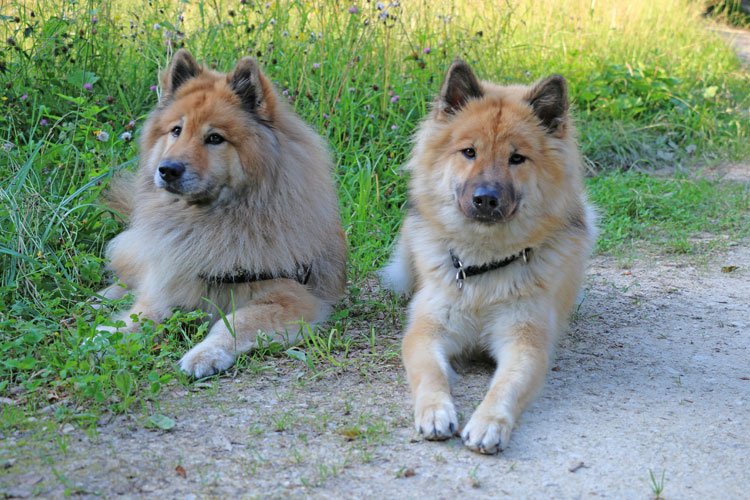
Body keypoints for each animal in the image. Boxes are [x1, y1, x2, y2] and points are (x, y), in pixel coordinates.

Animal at [95, 49, 348, 378]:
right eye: (176, 131)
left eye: (215, 138)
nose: (168, 169)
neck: (211, 222)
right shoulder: (170, 280)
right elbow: (144, 314)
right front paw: (109, 335)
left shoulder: (290, 298)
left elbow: (233, 324)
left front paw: (204, 355)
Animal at [384, 59, 596, 454]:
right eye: (469, 152)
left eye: (517, 158)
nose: (485, 198)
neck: (484, 266)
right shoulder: (427, 331)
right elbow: (431, 374)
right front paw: (435, 411)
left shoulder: (525, 343)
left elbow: (505, 387)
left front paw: (488, 423)